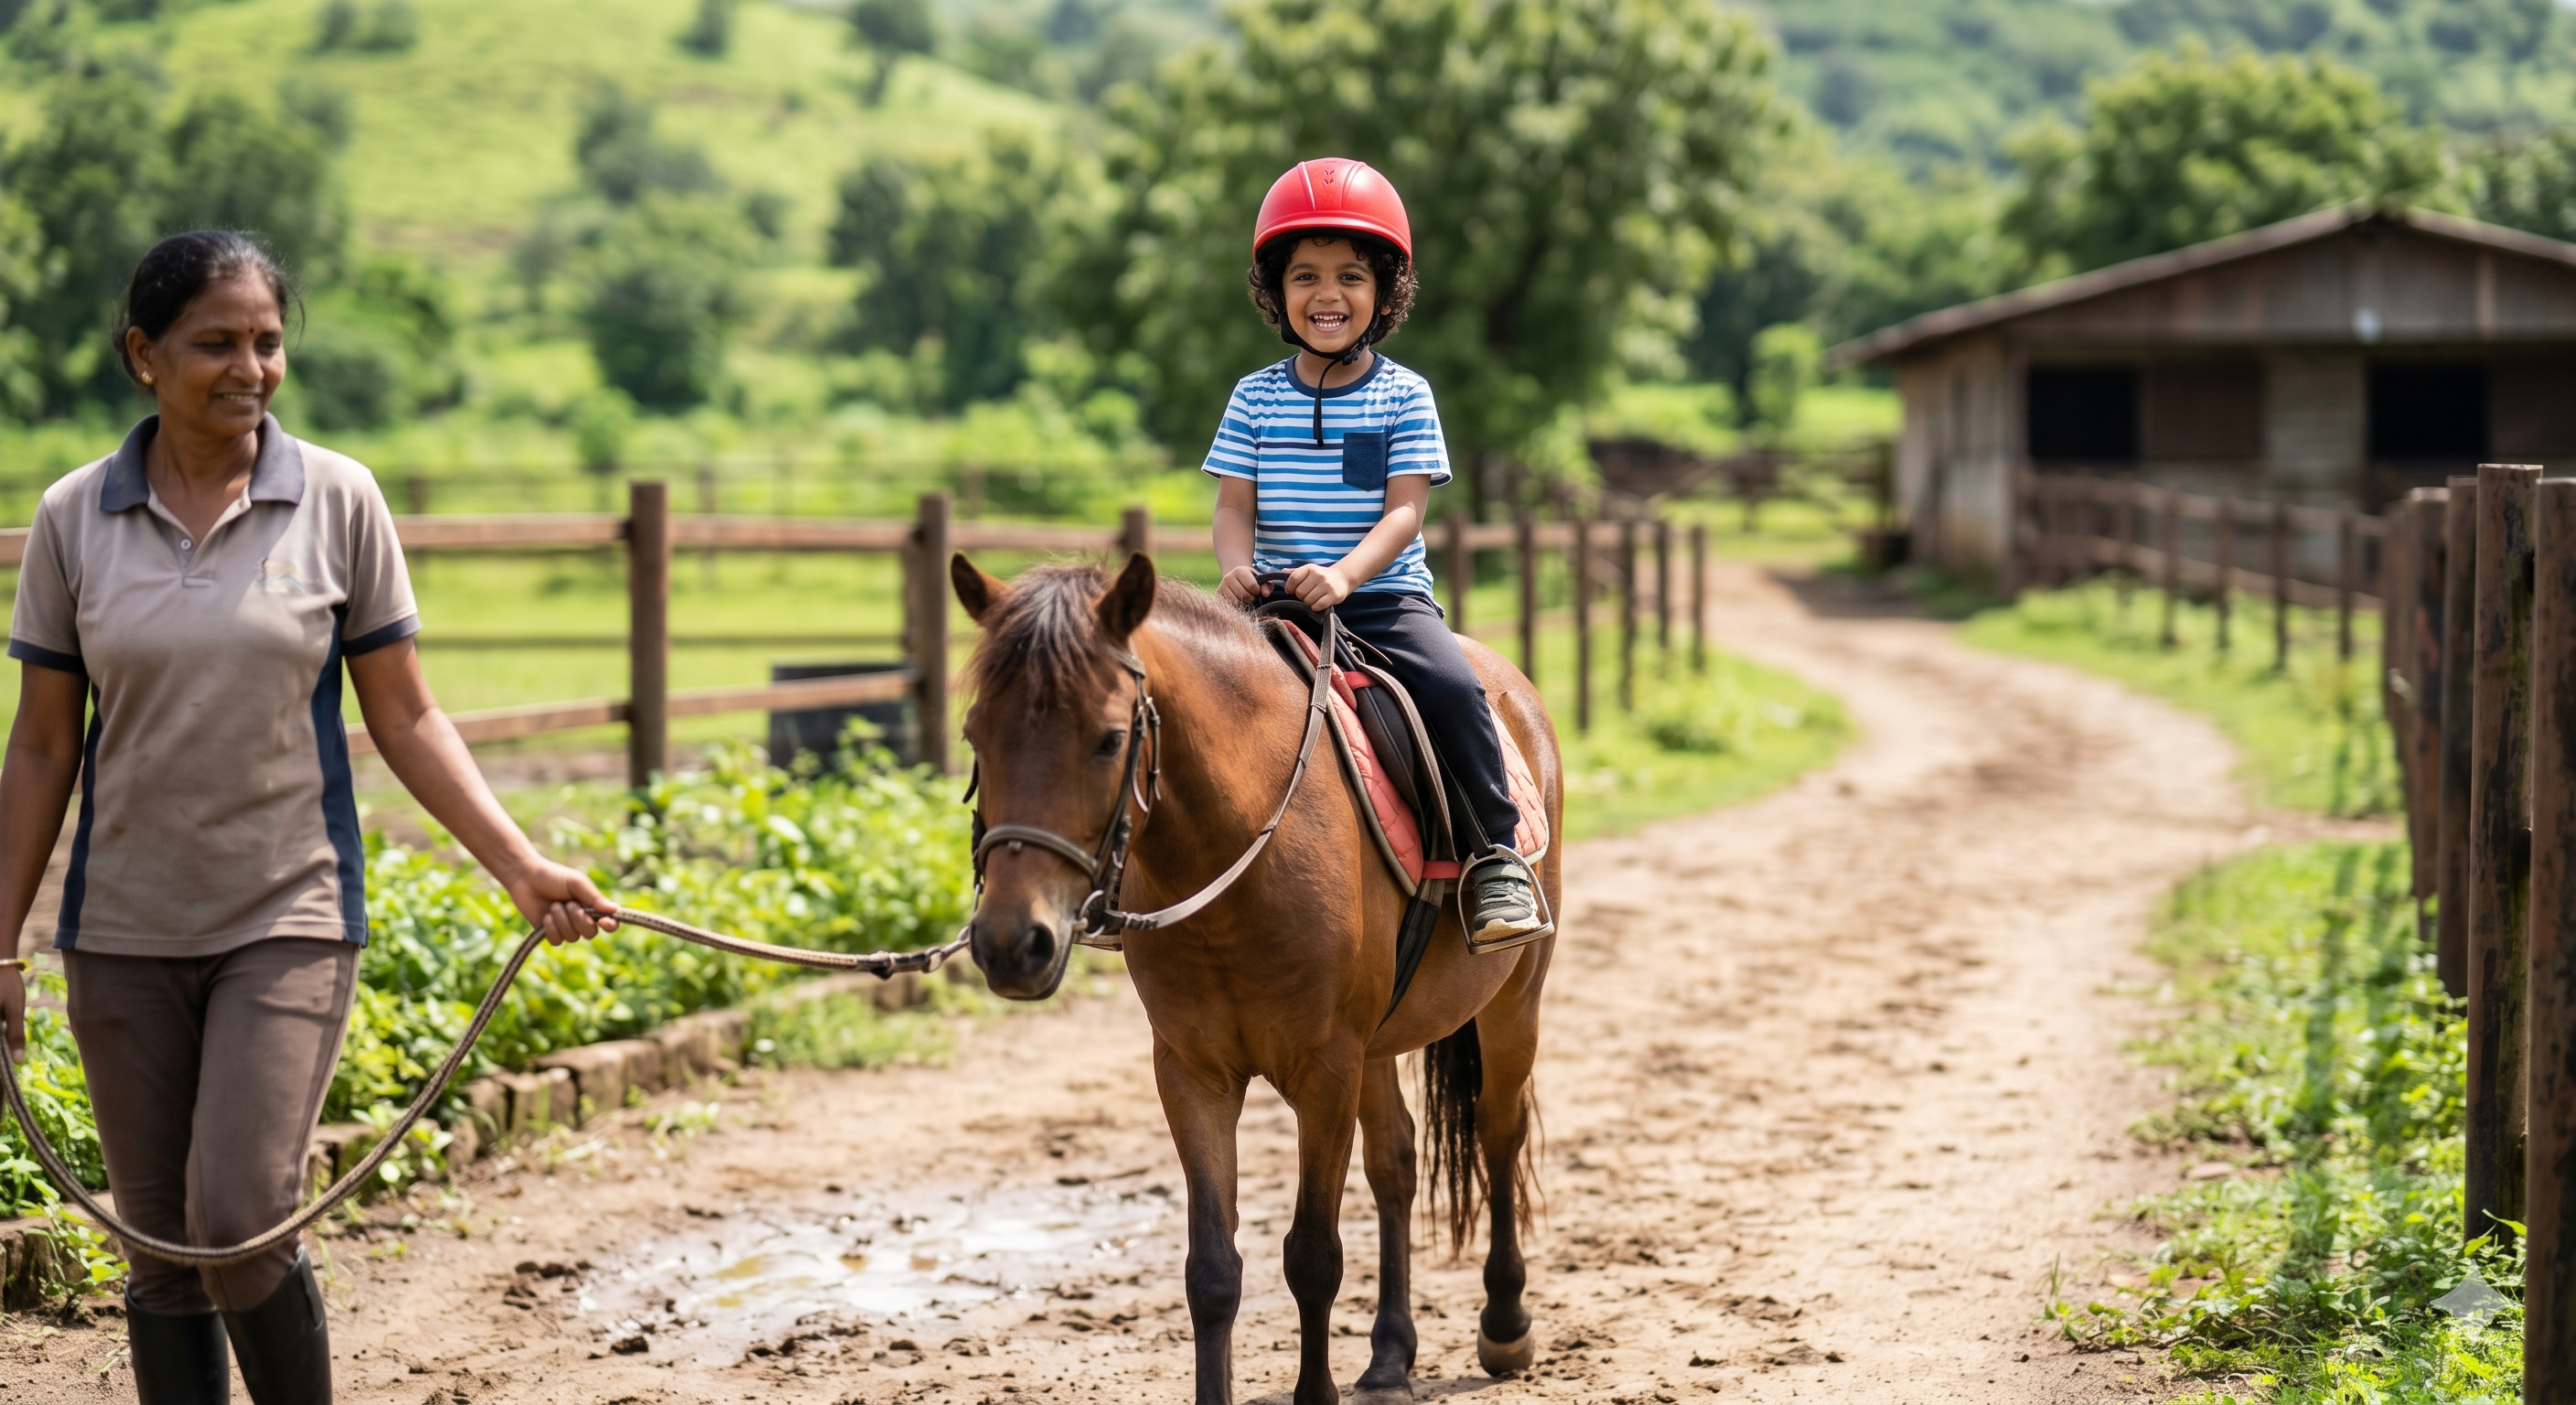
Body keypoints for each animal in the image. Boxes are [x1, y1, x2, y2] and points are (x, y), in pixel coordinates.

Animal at [949, 553, 1562, 1405]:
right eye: (977, 735)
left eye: (1109, 740)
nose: (1011, 943)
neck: (1237, 844)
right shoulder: (1193, 1074)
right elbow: (1212, 1272)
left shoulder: (1325, 1071)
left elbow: (1313, 1256)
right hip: (1378, 1046)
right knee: (1397, 1166)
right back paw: (1390, 1358)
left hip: (1513, 1002)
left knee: (1498, 1133)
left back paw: (1505, 1325)